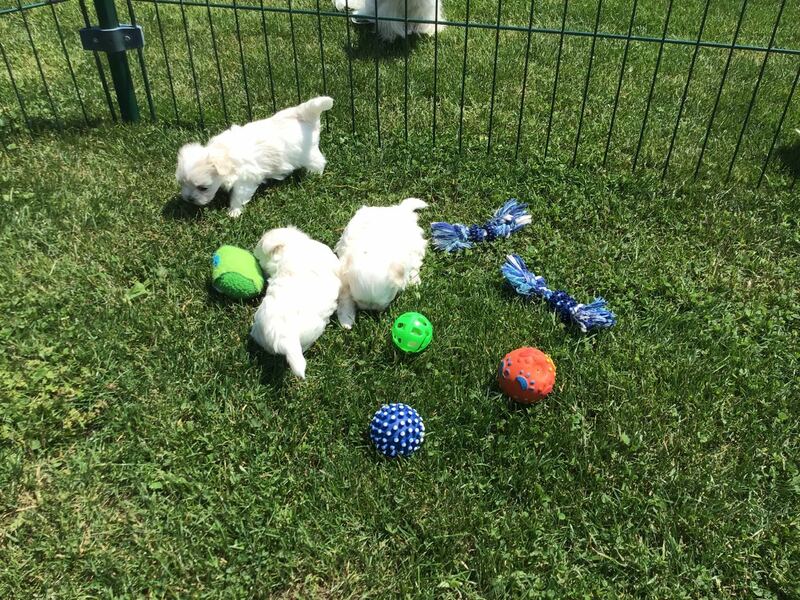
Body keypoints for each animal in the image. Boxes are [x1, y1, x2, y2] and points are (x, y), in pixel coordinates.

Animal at [175, 96, 333, 218]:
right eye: (182, 183)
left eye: (203, 188)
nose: (189, 199)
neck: (224, 154)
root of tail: (305, 117)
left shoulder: (245, 180)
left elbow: (238, 196)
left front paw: (234, 212)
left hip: (307, 154)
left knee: (319, 162)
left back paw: (314, 175)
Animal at [336, 197, 428, 328]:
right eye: (359, 301)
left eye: (385, 302)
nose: (370, 311)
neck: (374, 253)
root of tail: (401, 209)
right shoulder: (344, 276)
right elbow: (346, 298)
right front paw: (346, 321)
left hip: (416, 244)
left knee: (416, 263)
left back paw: (415, 281)